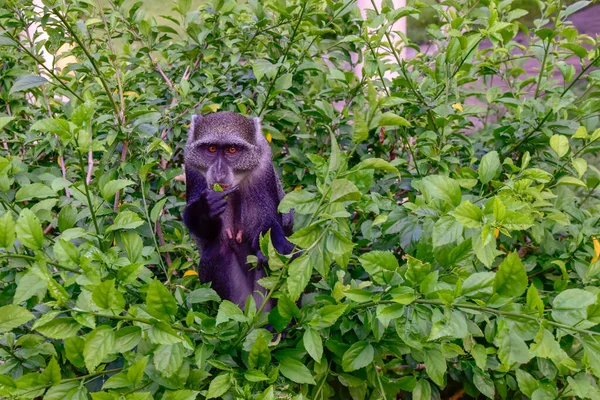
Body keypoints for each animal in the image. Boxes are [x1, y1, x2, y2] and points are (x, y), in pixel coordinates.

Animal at [184, 111, 294, 310]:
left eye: (232, 150)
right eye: (211, 149)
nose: (219, 173)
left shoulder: (263, 167)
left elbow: (269, 225)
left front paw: (275, 251)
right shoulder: (191, 168)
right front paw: (206, 208)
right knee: (217, 251)